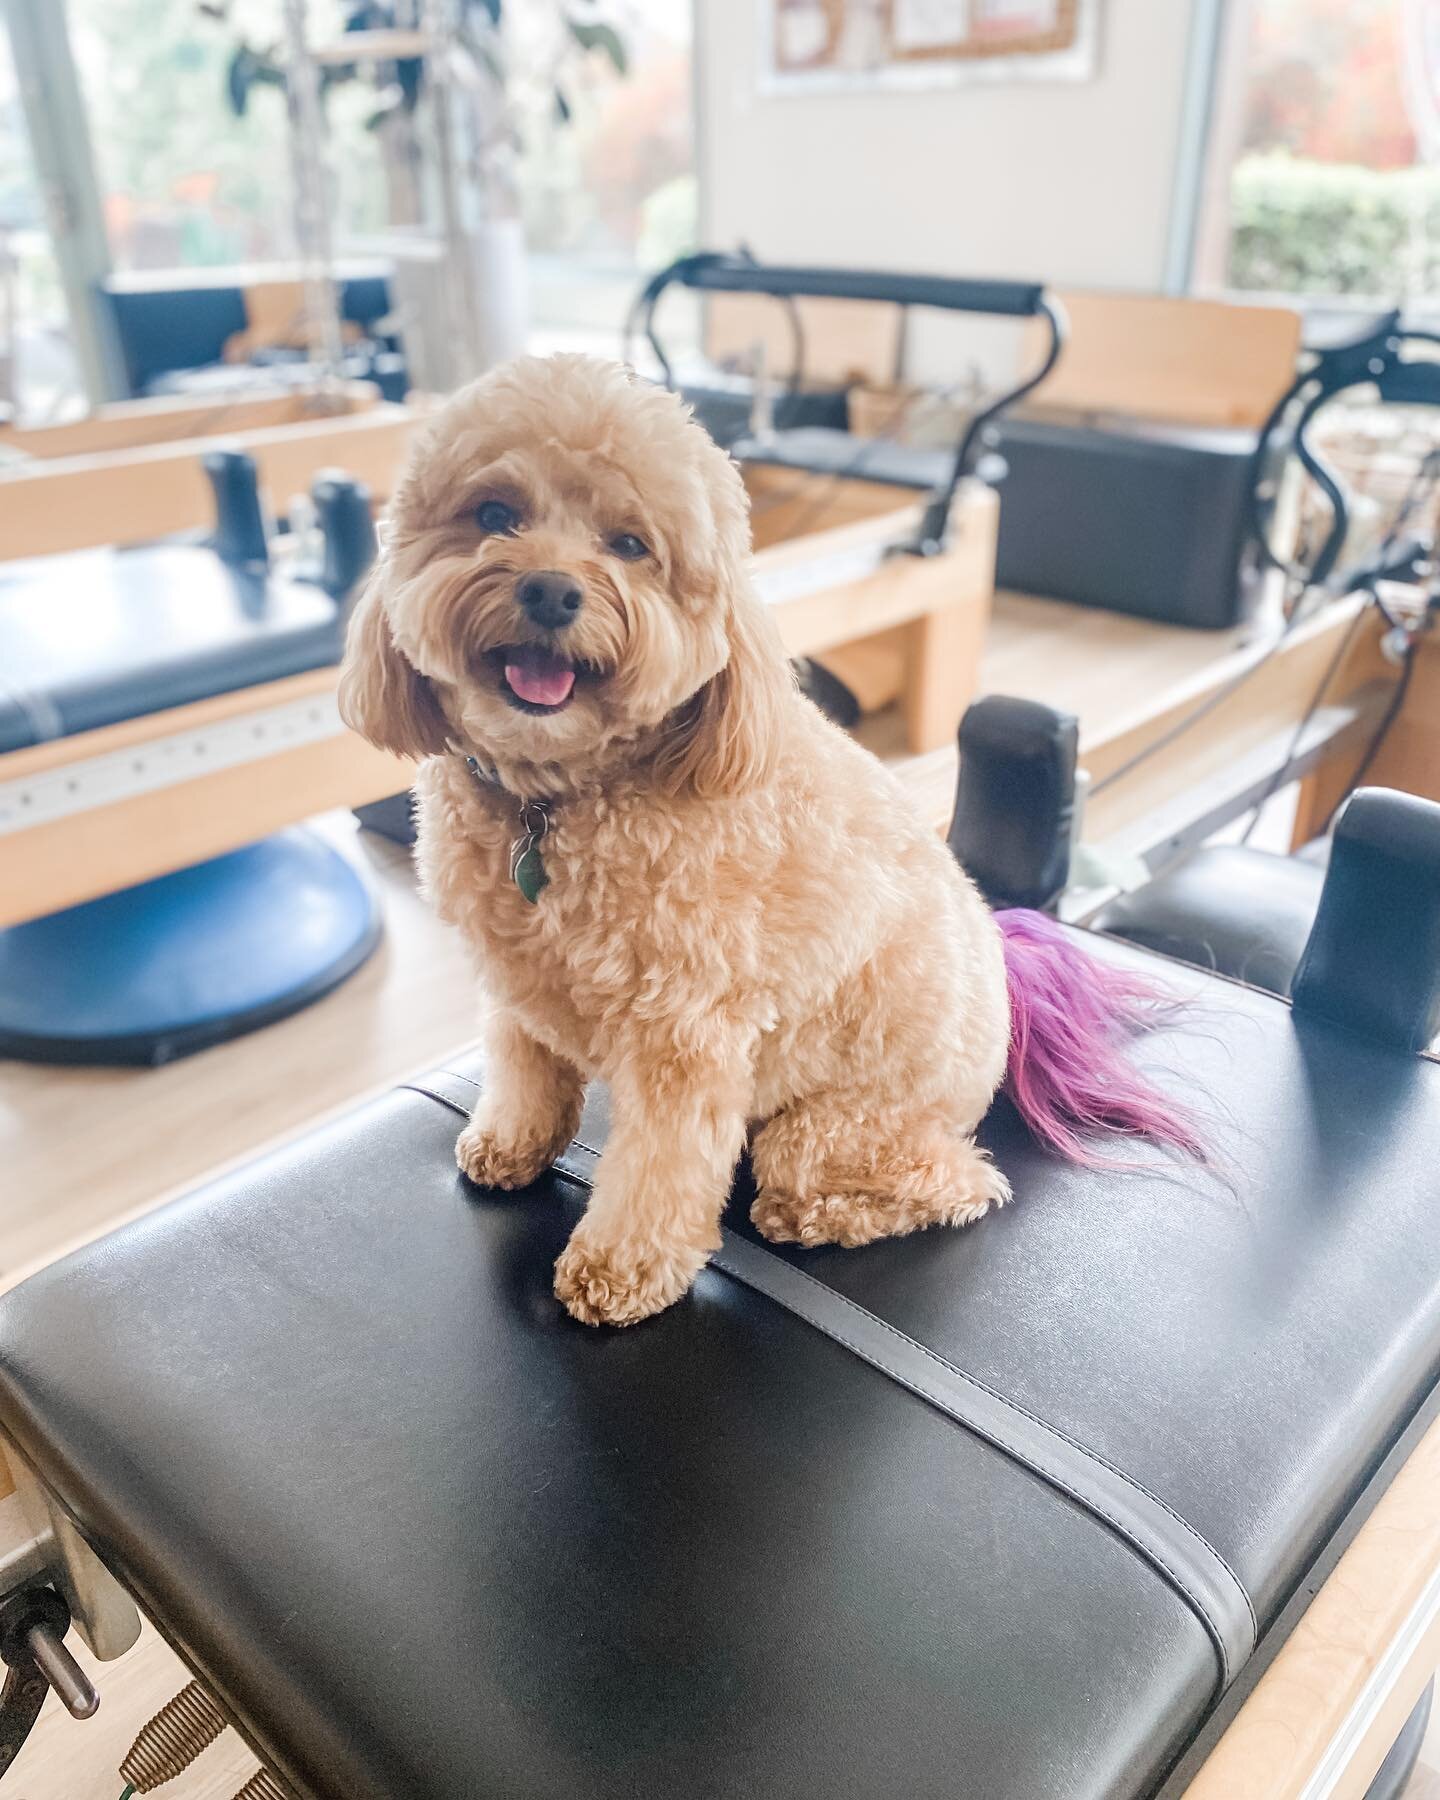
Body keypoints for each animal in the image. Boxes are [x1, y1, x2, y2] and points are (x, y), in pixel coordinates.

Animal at [343, 358, 1188, 1332]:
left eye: (630, 545)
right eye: (493, 515)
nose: (552, 590)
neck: (561, 799)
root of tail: (1009, 994)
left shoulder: (684, 1033)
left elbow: (659, 1168)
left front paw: (619, 1268)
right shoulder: (517, 991)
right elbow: (525, 1074)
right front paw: (510, 1145)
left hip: (841, 1127)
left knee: (956, 1181)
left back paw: (821, 1212)